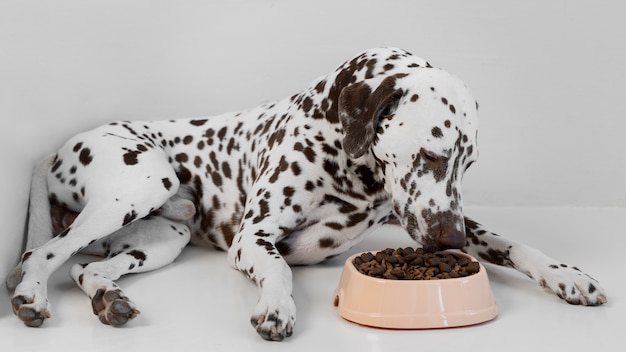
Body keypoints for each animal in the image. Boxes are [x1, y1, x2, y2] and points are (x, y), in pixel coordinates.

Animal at [6, 47, 604, 340]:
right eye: (432, 154)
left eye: (468, 162)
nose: (449, 241)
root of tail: (56, 150)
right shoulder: (255, 237)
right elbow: (279, 267)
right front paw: (276, 305)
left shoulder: (425, 217)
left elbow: (513, 243)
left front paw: (567, 275)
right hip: (139, 183)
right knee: (43, 254)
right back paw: (32, 297)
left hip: (163, 237)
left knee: (87, 269)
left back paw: (108, 298)